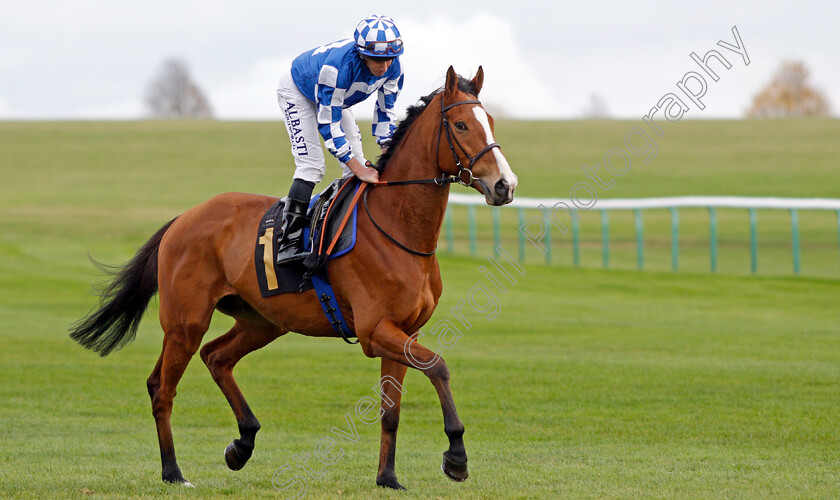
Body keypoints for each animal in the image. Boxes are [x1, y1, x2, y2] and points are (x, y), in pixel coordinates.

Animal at [72, 65, 520, 488]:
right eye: (460, 125)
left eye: (490, 121)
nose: (505, 184)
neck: (398, 227)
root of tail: (184, 217)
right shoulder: (375, 330)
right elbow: (439, 366)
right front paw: (456, 456)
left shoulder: (404, 331)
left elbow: (391, 410)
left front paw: (388, 478)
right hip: (186, 322)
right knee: (163, 388)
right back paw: (173, 471)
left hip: (263, 321)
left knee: (215, 357)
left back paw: (242, 443)